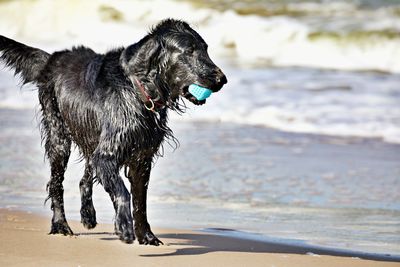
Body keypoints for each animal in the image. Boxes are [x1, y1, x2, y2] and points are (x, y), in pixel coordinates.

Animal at [0, 18, 225, 245]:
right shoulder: (108, 155)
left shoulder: (142, 158)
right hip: (59, 135)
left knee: (84, 179)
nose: (222, 80)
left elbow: (140, 202)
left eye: (206, 49)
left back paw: (88, 215)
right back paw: (60, 225)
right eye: (189, 51)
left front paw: (147, 236)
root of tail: (52, 58)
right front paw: (124, 227)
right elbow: (123, 192)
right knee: (56, 183)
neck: (137, 89)